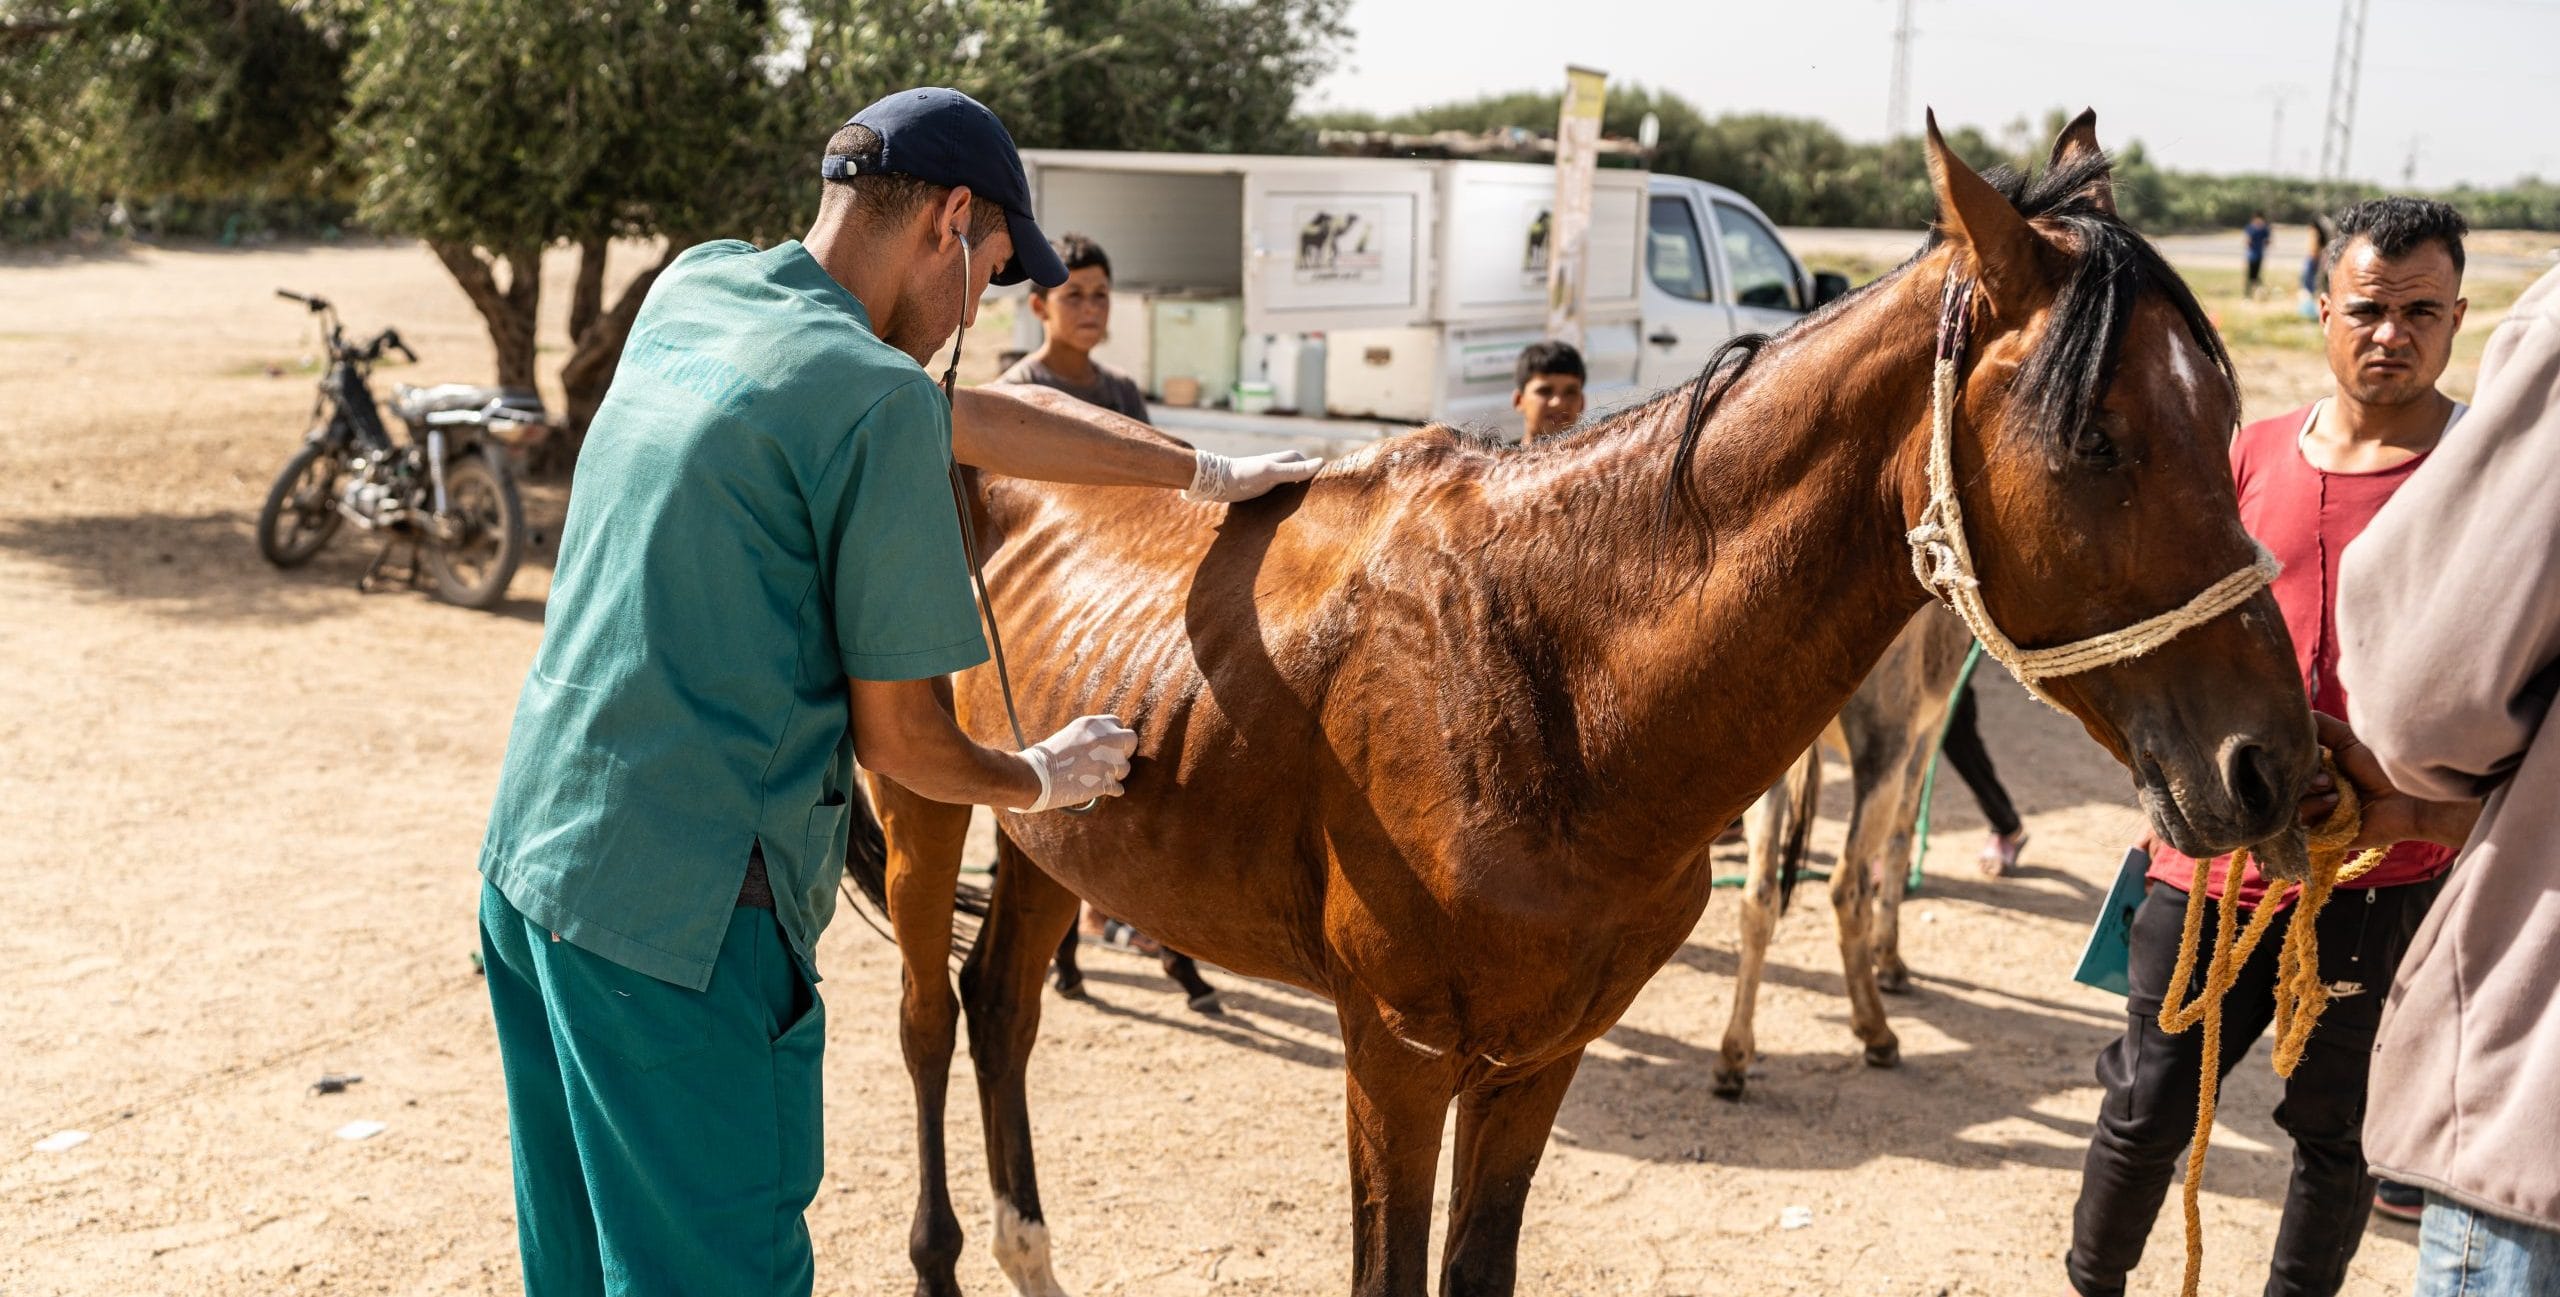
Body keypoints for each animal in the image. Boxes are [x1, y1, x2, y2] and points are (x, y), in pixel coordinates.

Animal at [849, 114, 2314, 1297]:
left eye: (2227, 420)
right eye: (2096, 440)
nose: (2272, 766)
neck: (1544, 674)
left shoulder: (1536, 1057)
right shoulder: (1396, 1056)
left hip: (1053, 840)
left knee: (1003, 1007)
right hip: (927, 810)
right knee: (928, 1020)